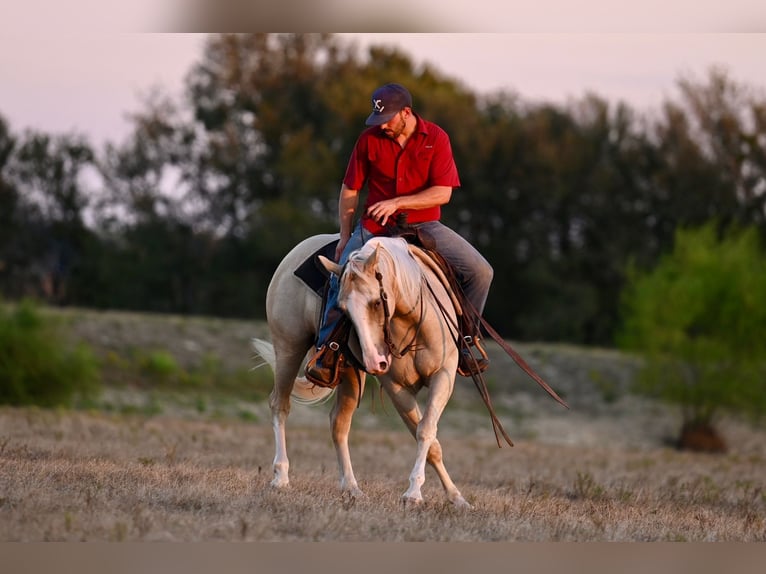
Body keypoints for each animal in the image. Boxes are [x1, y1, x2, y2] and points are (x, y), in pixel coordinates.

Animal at [255, 234, 474, 508]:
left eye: (377, 301)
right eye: (342, 310)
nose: (375, 361)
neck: (411, 321)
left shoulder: (443, 376)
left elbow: (427, 432)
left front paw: (456, 497)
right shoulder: (396, 387)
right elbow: (426, 436)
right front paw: (414, 493)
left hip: (348, 373)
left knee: (338, 422)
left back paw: (351, 488)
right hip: (288, 348)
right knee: (280, 405)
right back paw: (281, 477)